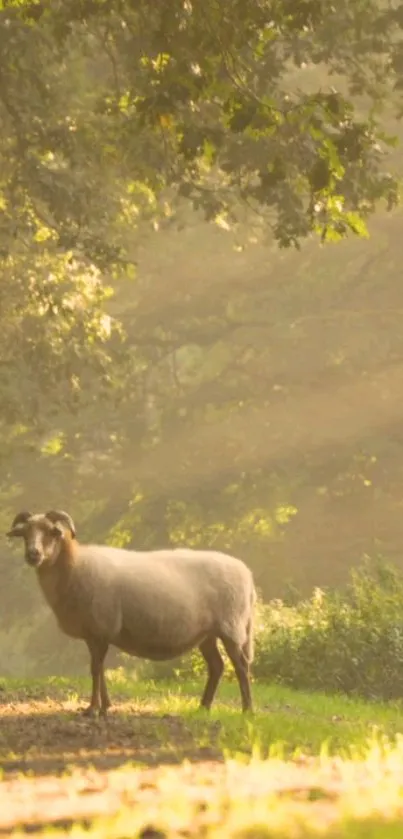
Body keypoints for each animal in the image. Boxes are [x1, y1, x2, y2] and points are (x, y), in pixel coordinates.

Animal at [6, 508, 258, 720]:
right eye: (25, 534)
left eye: (51, 532)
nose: (33, 554)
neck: (74, 564)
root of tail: (247, 574)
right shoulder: (94, 633)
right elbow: (99, 669)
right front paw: (105, 706)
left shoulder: (101, 628)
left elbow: (95, 669)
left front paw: (93, 709)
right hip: (207, 633)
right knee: (217, 667)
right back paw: (203, 707)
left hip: (231, 626)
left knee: (241, 666)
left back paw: (247, 710)